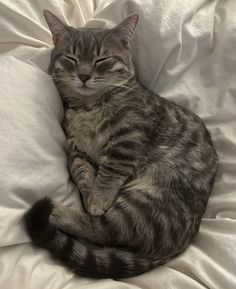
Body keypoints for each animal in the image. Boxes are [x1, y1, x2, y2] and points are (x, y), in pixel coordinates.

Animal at [24, 10, 218, 278]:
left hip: (144, 204)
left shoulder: (128, 139)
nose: (84, 75)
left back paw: (56, 212)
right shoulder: (75, 148)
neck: (89, 106)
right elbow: (81, 171)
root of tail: (177, 248)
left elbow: (109, 174)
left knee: (102, 230)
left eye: (101, 59)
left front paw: (97, 199)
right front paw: (89, 192)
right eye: (72, 58)